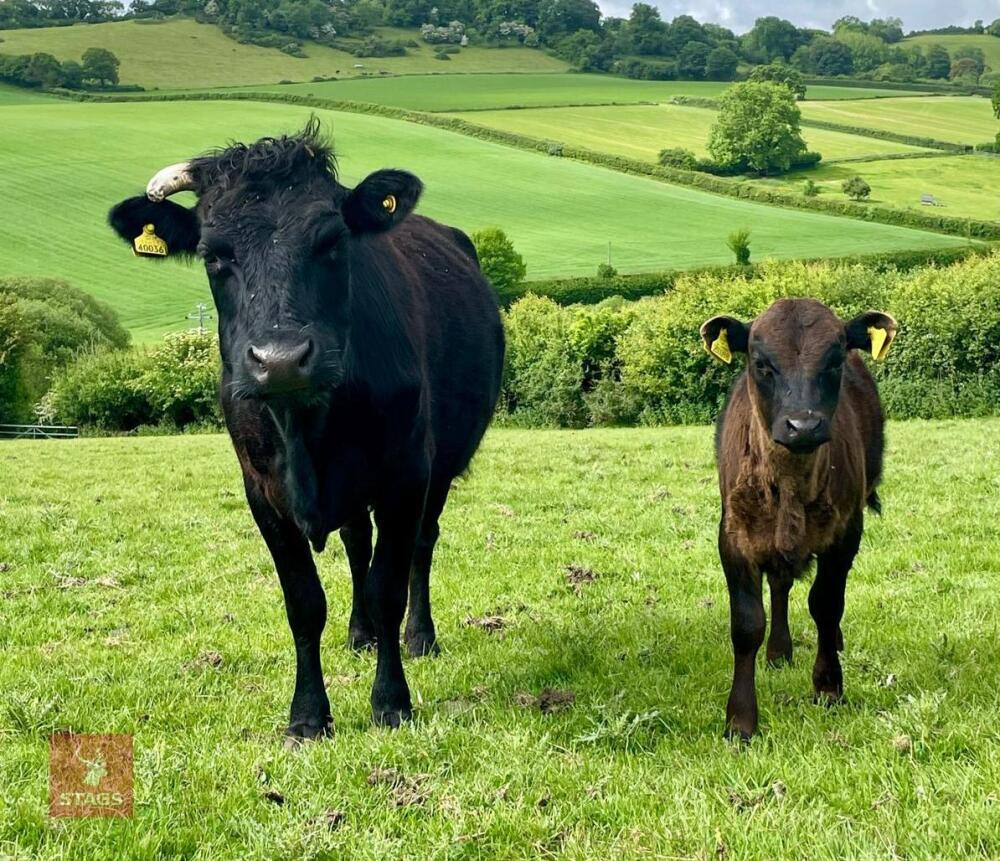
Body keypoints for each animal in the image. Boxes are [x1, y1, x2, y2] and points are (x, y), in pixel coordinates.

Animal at [107, 120, 505, 737]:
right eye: (214, 255)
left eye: (332, 241)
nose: (280, 360)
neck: (307, 428)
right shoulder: (262, 492)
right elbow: (304, 603)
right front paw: (309, 715)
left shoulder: (407, 477)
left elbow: (388, 586)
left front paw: (391, 702)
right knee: (356, 541)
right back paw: (360, 634)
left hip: (438, 468)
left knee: (421, 545)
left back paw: (419, 637)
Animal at [700, 298, 897, 740]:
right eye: (761, 363)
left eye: (835, 359)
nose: (802, 425)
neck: (789, 484)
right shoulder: (733, 537)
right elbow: (747, 624)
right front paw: (740, 720)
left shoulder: (845, 534)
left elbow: (826, 604)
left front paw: (828, 686)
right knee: (780, 584)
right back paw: (778, 651)